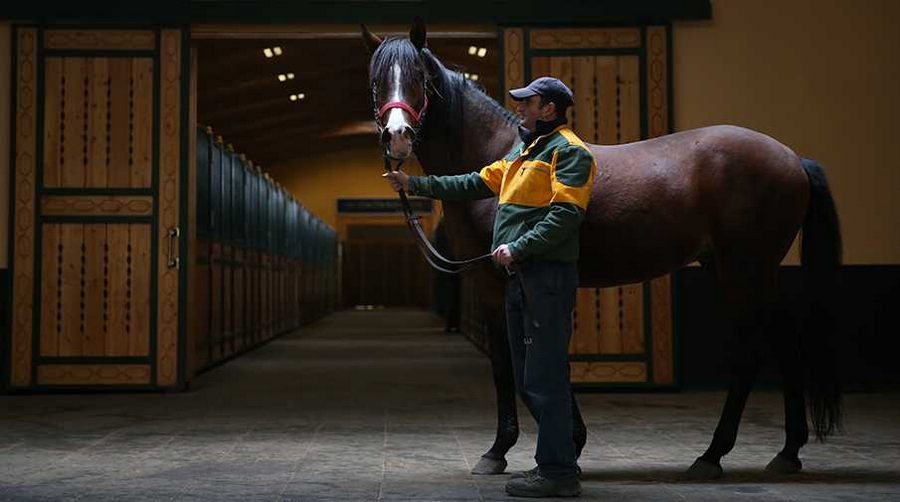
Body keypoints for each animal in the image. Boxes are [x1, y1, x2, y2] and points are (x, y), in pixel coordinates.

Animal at [360, 19, 844, 480]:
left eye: (420, 77)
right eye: (376, 80)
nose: (398, 136)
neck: (498, 159)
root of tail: (792, 158)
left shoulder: (498, 283)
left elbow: (510, 364)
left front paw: (503, 451)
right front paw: (562, 443)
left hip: (743, 270)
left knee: (750, 354)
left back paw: (712, 457)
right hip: (746, 271)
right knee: (785, 343)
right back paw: (787, 453)